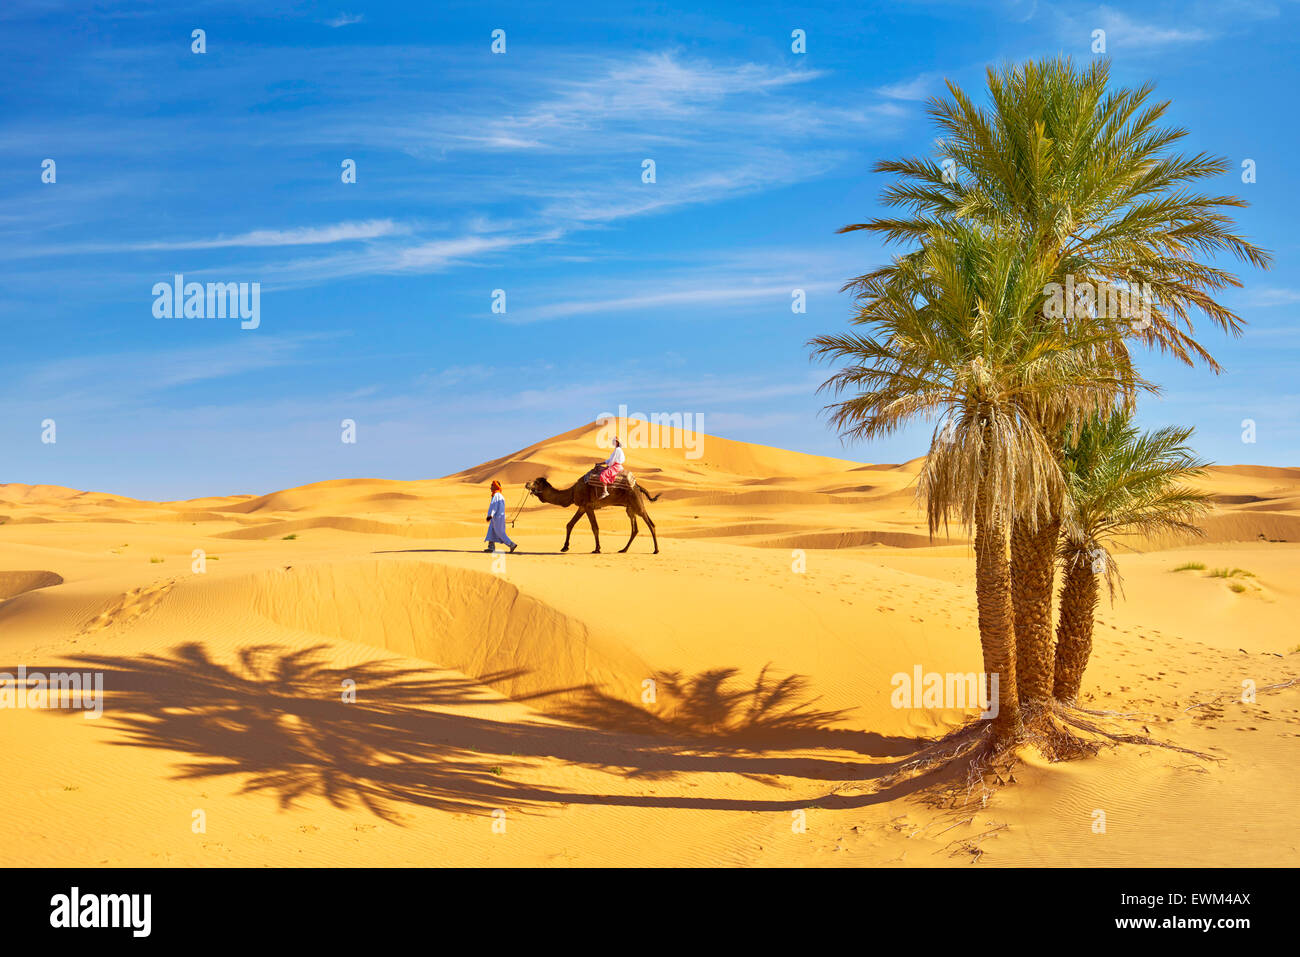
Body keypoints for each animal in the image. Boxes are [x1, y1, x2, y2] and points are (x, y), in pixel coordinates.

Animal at [522, 468, 660, 553]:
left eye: (536, 482)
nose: (527, 484)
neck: (572, 492)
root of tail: (638, 486)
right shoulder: (582, 507)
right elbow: (569, 524)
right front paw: (565, 547)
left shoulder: (588, 506)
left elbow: (595, 527)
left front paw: (597, 549)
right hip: (630, 507)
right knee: (635, 528)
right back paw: (623, 549)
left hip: (637, 502)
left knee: (651, 524)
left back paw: (656, 550)